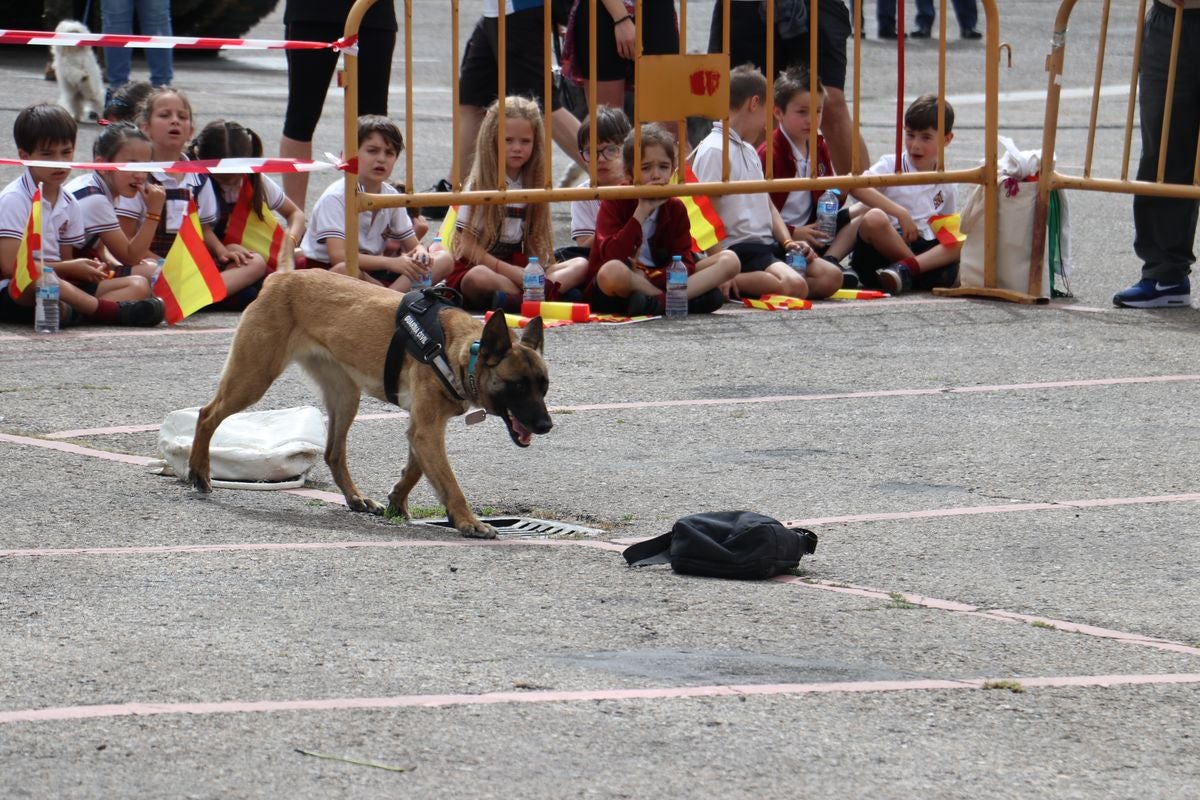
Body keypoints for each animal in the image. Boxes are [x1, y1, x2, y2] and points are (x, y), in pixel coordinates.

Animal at [188, 268, 552, 537]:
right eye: (518, 385)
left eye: (544, 387)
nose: (547, 426)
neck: (459, 351)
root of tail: (281, 277)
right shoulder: (427, 429)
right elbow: (449, 481)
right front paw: (467, 521)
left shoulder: (422, 429)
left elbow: (417, 469)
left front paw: (397, 501)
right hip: (253, 378)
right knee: (207, 415)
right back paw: (198, 472)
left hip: (346, 396)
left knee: (334, 453)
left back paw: (355, 497)